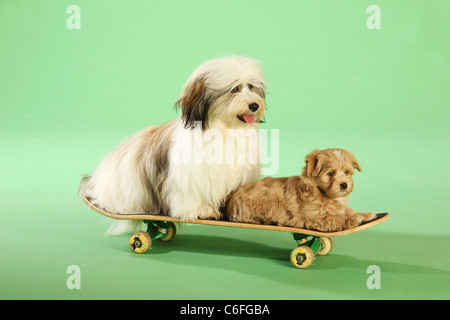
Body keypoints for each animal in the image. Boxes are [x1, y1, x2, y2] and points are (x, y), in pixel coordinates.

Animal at [79, 55, 266, 235]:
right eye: (234, 89)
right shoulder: (190, 175)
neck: (224, 130)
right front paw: (201, 210)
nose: (254, 105)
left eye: (250, 86)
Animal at [227, 149, 378, 231]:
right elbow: (337, 218)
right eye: (330, 174)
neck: (321, 192)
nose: (344, 185)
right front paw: (353, 219)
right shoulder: (317, 219)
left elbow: (348, 210)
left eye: (347, 172)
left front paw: (365, 214)